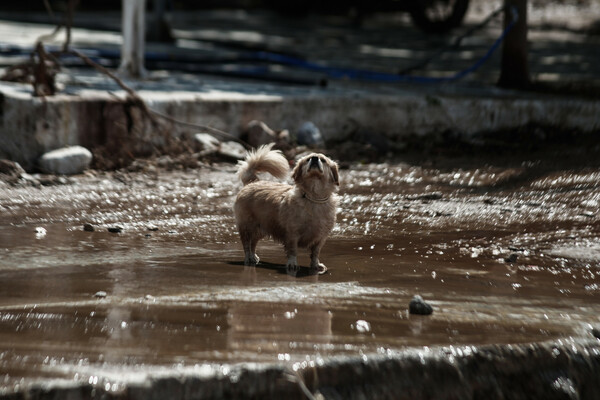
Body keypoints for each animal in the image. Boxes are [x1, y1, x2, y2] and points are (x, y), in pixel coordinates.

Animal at [233, 144, 338, 272]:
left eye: (323, 160)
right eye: (307, 159)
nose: (314, 158)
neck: (314, 196)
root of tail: (252, 183)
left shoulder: (321, 237)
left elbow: (315, 252)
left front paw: (316, 265)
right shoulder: (292, 234)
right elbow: (292, 250)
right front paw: (292, 264)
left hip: (261, 228)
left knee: (253, 243)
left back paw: (254, 257)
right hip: (247, 226)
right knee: (246, 244)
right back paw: (248, 258)